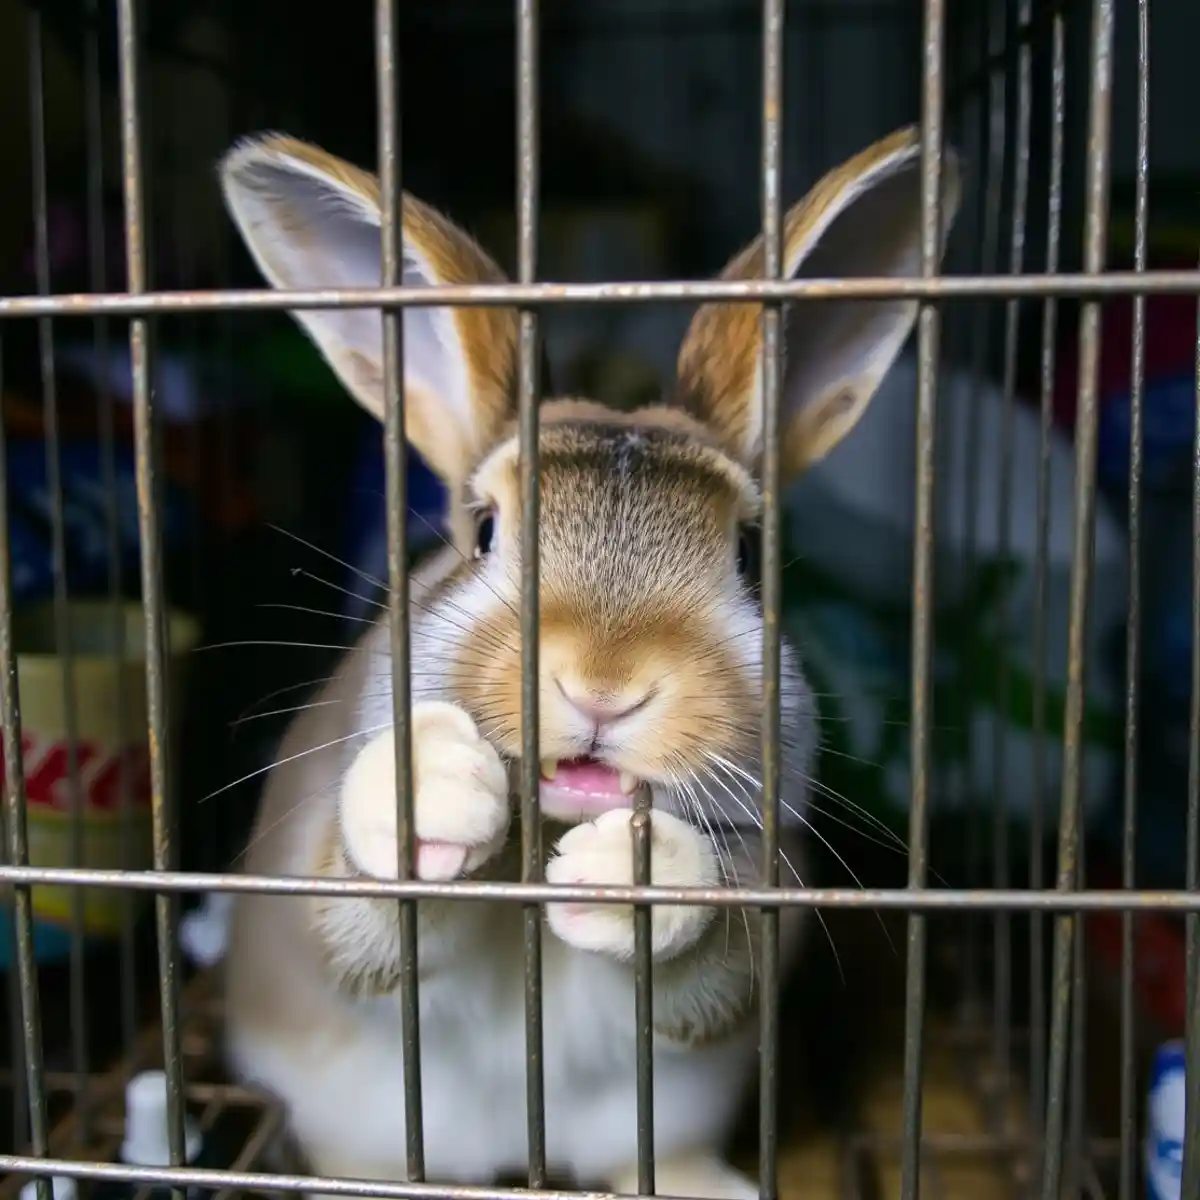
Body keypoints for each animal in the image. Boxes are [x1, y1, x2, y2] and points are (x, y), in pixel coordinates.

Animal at [216, 124, 961, 1200]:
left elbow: (705, 959)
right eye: (483, 532)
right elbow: (363, 910)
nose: (602, 687)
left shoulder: (758, 904)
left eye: (747, 553)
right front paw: (435, 783)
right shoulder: (327, 903)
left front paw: (629, 868)